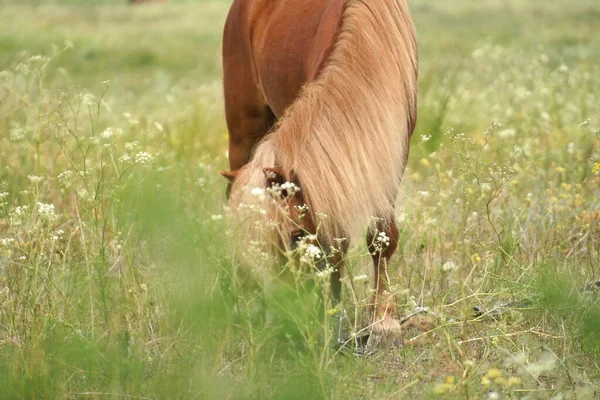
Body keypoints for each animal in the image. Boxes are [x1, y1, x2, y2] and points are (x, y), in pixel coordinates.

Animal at [219, 0, 418, 340]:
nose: (285, 316)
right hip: (243, 128)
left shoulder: (392, 153)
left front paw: (383, 319)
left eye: (296, 236)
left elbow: (380, 236)